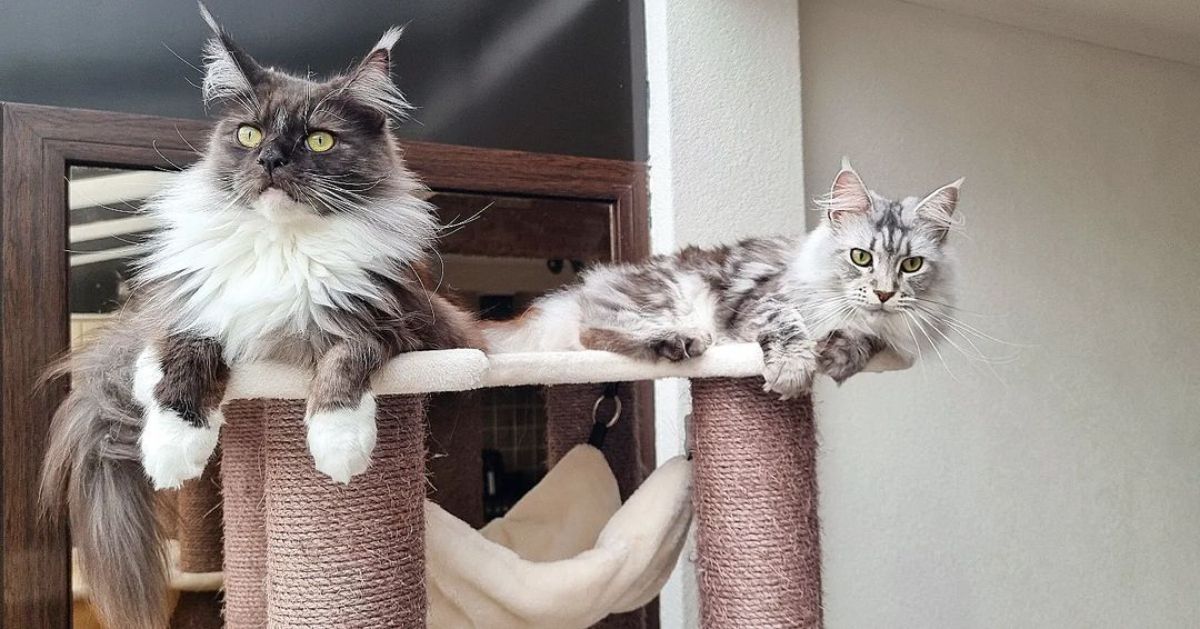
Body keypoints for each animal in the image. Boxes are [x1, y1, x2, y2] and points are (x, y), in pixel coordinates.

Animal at [42, 8, 482, 629]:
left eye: (320, 139)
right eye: (249, 134)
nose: (271, 159)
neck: (283, 246)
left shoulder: (406, 321)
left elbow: (347, 355)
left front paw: (339, 444)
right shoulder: (192, 309)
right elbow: (185, 352)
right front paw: (173, 447)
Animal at [482, 162, 960, 398]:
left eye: (911, 265)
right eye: (861, 257)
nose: (883, 293)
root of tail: (582, 289)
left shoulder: (886, 334)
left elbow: (866, 338)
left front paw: (841, 354)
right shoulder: (761, 305)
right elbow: (790, 328)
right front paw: (794, 370)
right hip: (666, 297)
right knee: (593, 333)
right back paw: (677, 341)